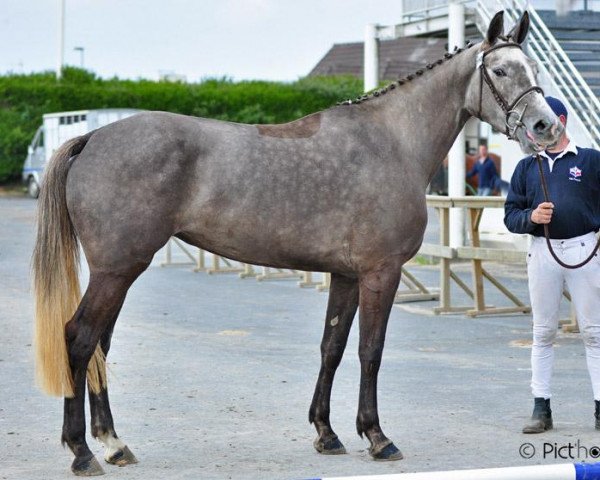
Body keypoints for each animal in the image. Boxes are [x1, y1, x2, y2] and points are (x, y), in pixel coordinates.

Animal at [34, 11, 564, 476]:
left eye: (536, 69)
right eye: (500, 70)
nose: (546, 127)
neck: (392, 142)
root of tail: (92, 137)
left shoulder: (346, 275)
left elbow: (332, 345)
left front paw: (327, 433)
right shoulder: (381, 272)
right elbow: (370, 350)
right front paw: (377, 437)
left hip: (120, 271)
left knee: (100, 345)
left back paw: (114, 444)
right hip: (117, 270)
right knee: (79, 339)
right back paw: (82, 452)